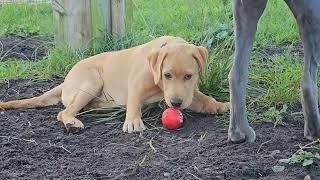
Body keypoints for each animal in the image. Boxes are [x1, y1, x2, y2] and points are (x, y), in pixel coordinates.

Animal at [0, 35, 230, 133]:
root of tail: (65, 82)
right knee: (63, 112)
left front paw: (223, 105)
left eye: (189, 76)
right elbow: (134, 100)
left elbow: (205, 100)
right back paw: (72, 122)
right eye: (167, 75)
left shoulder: (189, 94)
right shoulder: (136, 83)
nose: (175, 104)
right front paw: (133, 122)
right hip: (92, 81)